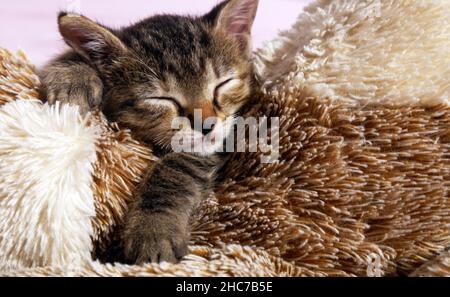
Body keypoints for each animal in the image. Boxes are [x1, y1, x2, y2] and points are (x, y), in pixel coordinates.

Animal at [40, 0, 262, 264]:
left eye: (223, 84)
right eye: (161, 98)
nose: (207, 125)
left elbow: (173, 170)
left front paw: (153, 231)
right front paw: (72, 77)